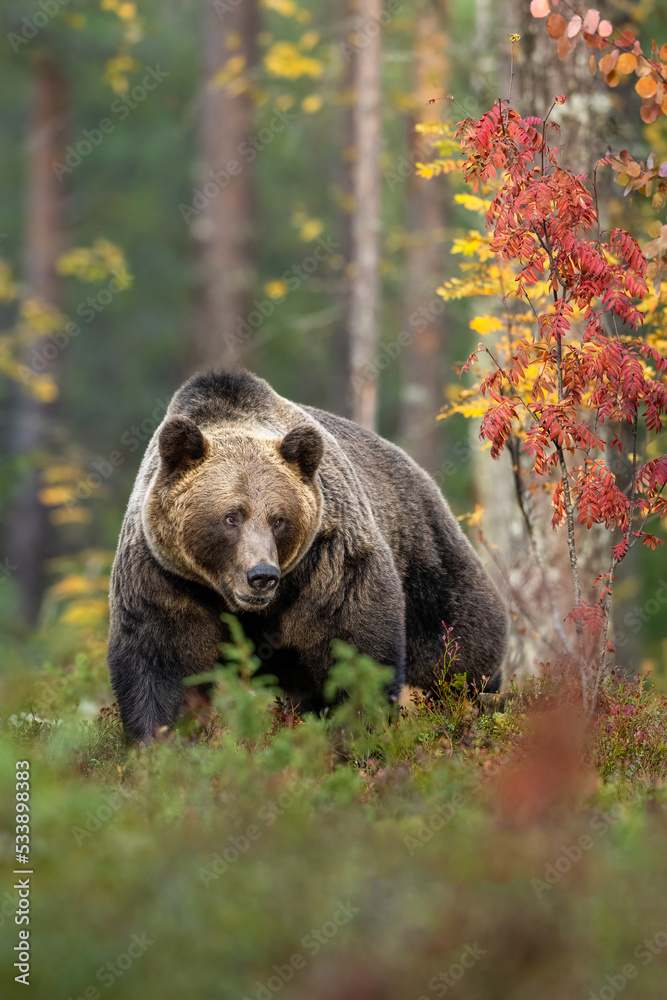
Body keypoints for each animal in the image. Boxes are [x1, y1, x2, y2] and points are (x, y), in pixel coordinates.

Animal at [108, 369, 508, 741]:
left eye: (279, 518)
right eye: (231, 516)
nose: (262, 575)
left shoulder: (329, 565)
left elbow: (355, 649)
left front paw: (358, 730)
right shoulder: (165, 576)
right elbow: (162, 666)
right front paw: (160, 741)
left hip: (424, 553)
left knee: (457, 645)